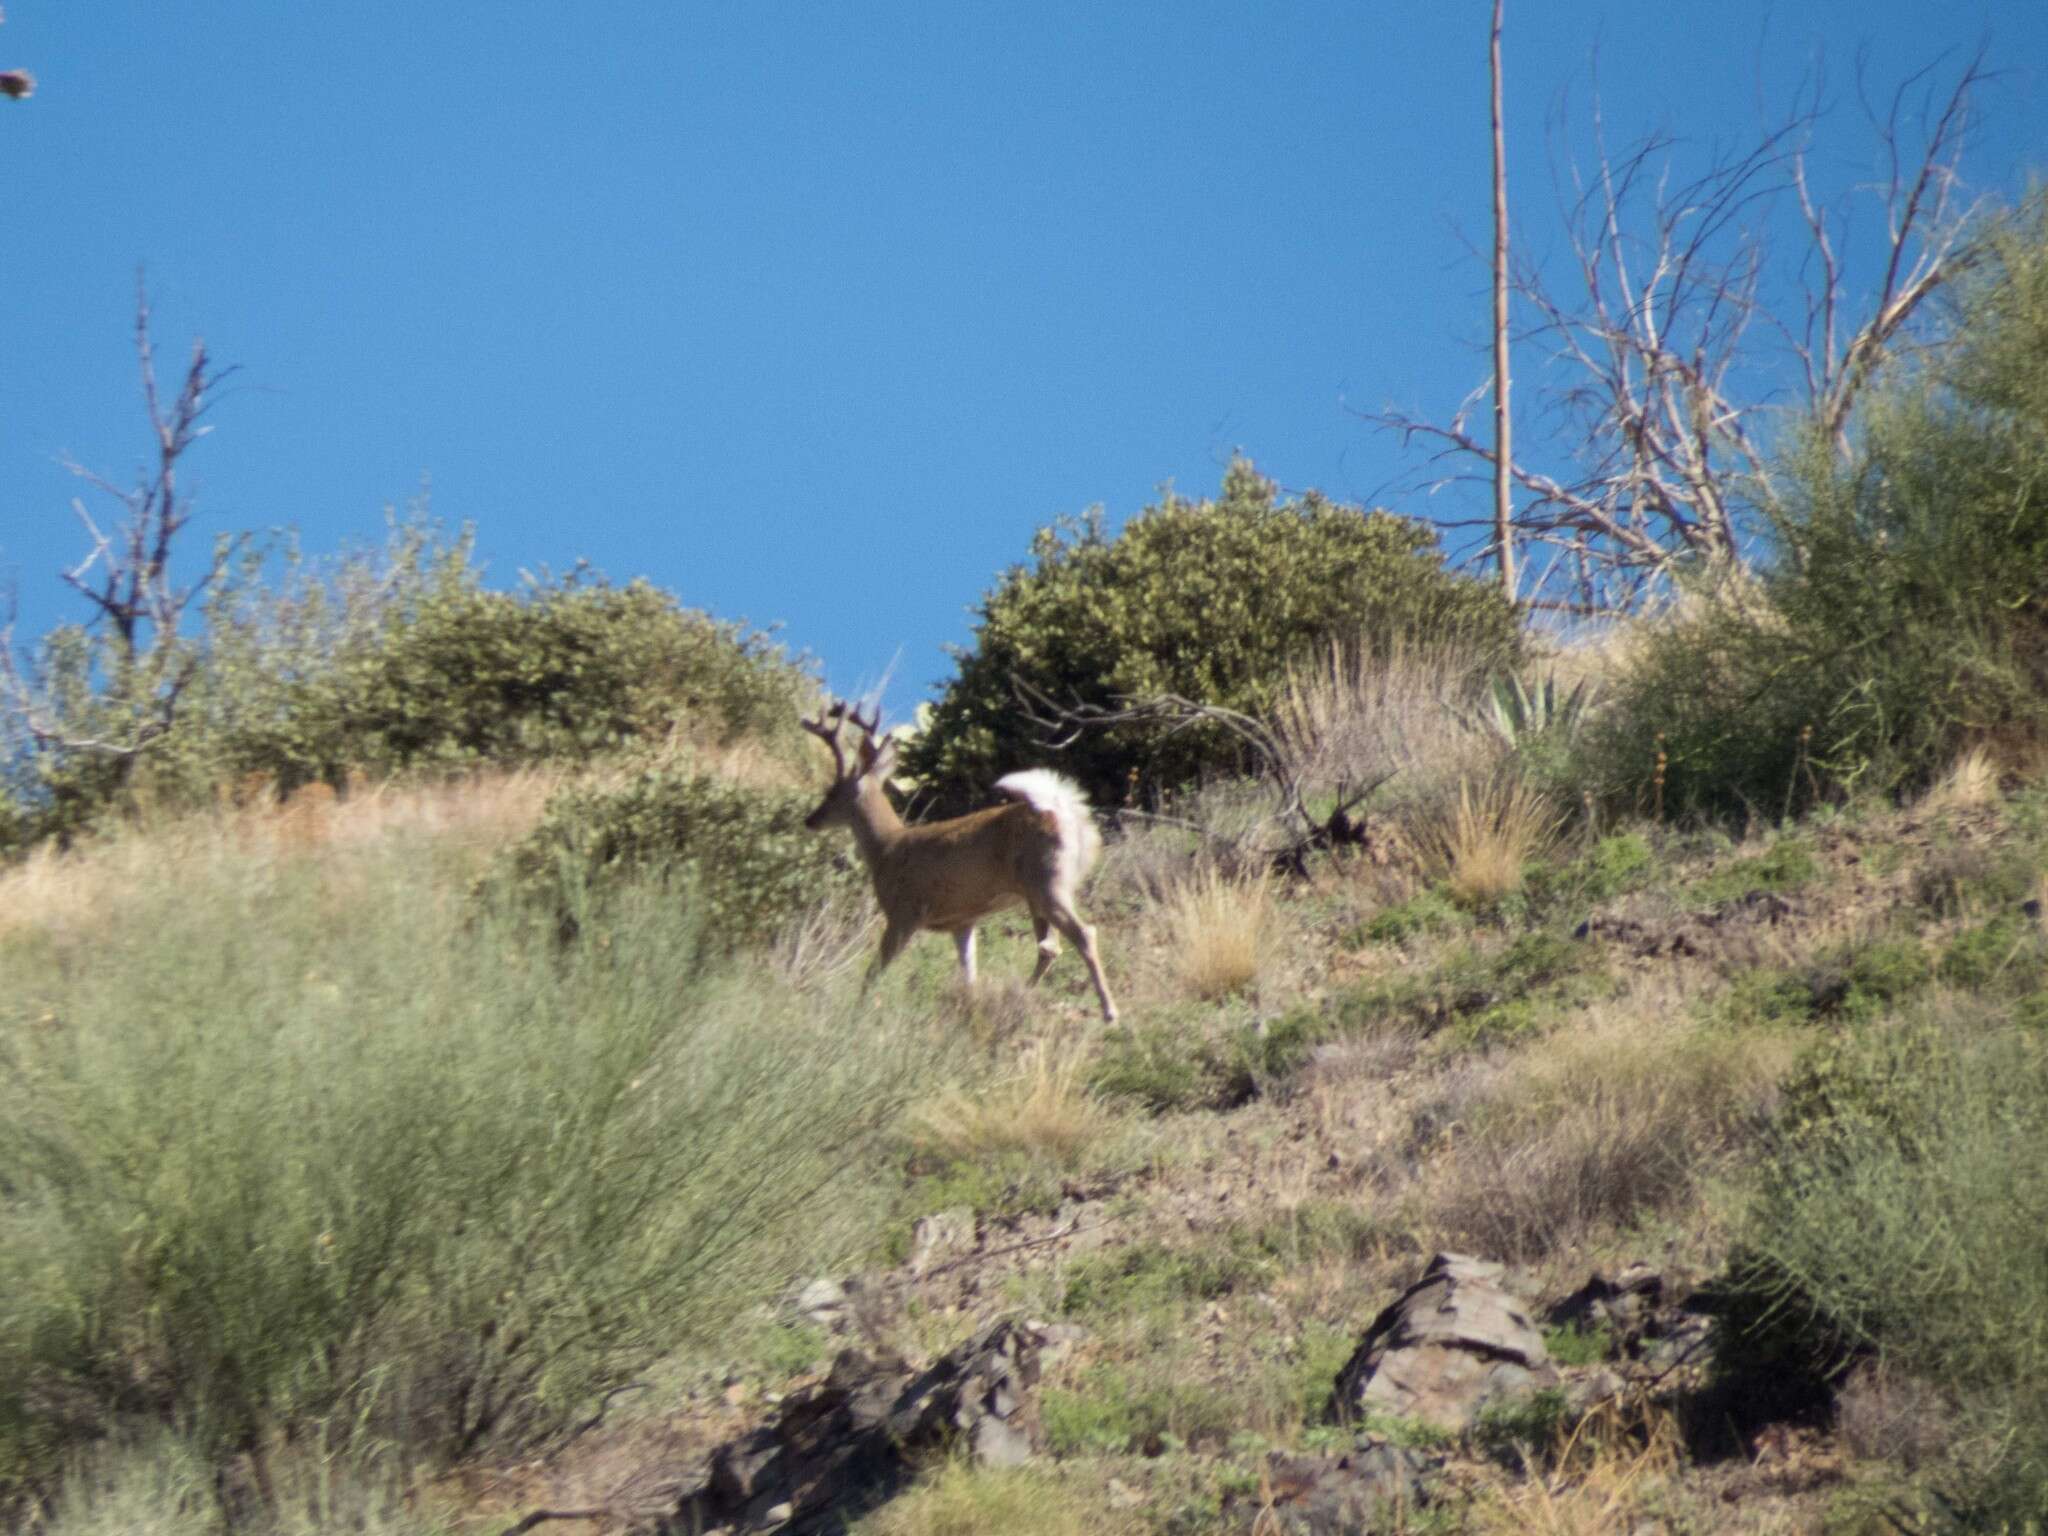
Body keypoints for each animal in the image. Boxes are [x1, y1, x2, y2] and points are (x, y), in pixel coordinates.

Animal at [798, 708, 1122, 1024]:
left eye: (830, 791)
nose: (810, 819)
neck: (886, 847)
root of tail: (1063, 812)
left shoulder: (904, 912)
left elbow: (874, 971)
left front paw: (856, 1013)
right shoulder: (962, 921)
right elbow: (969, 975)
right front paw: (970, 1007)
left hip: (1046, 882)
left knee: (1082, 934)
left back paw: (1109, 1012)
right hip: (1039, 892)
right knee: (1049, 947)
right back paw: (1023, 996)